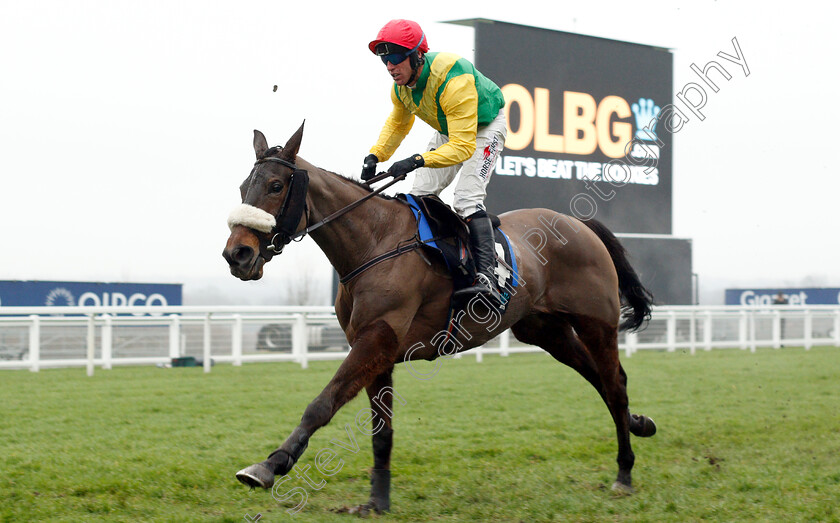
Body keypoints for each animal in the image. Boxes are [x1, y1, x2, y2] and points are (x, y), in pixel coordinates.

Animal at [221, 123, 656, 516]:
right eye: (244, 188)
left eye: (276, 185)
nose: (236, 254)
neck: (374, 242)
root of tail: (581, 224)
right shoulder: (376, 349)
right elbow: (381, 431)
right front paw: (377, 501)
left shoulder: (375, 340)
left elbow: (321, 404)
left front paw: (269, 465)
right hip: (546, 330)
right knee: (599, 380)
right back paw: (638, 423)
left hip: (596, 323)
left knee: (614, 383)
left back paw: (625, 472)